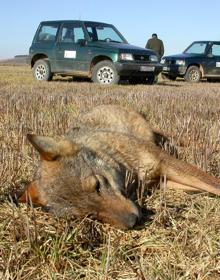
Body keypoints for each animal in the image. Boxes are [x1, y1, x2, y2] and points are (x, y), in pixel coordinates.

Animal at [18, 105, 220, 230]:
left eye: (97, 185)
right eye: (88, 215)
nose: (133, 222)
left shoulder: (164, 162)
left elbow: (214, 184)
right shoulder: (161, 182)